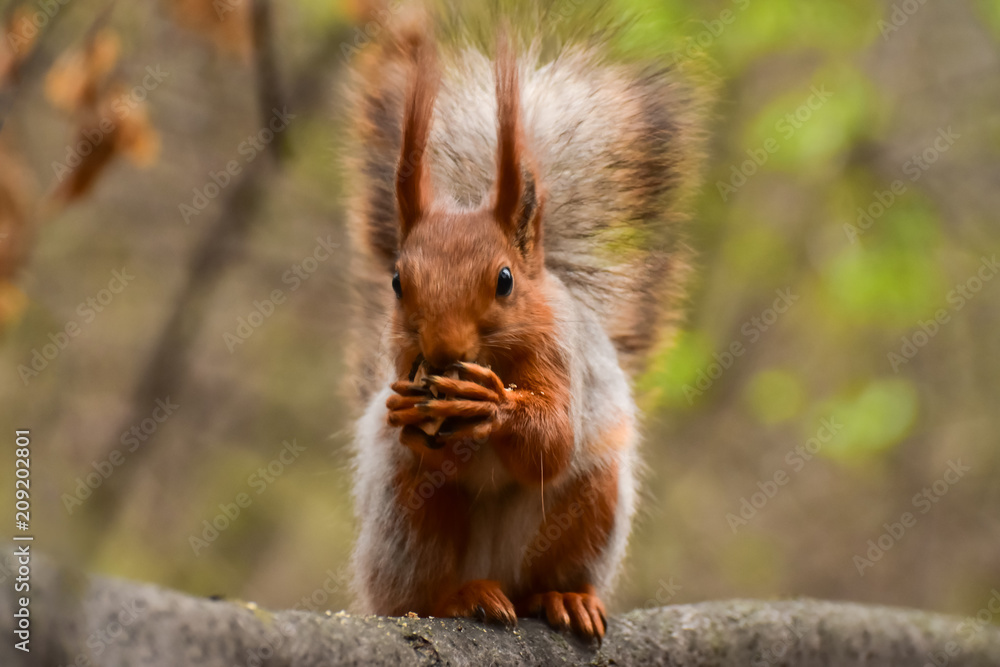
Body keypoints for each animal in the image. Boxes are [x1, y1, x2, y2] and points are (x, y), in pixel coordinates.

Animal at [344, 5, 704, 640]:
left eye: (505, 280)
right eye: (396, 283)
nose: (443, 351)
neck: (492, 356)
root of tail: (496, 577)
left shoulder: (561, 353)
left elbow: (552, 443)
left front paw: (493, 405)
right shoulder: (402, 360)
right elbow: (416, 433)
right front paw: (407, 412)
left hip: (590, 504)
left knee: (554, 550)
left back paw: (564, 597)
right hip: (406, 519)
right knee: (416, 587)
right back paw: (459, 597)